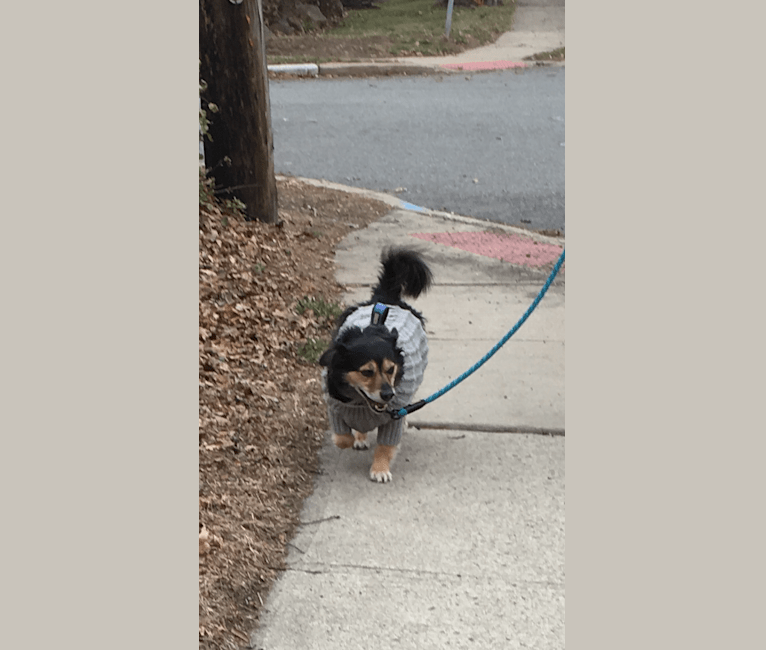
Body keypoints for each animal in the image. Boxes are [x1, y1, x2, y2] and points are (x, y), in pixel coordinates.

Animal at [320, 248, 436, 480]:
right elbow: (342, 437)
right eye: (366, 372)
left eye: (391, 369)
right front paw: (356, 437)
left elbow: (385, 445)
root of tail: (386, 298)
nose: (388, 394)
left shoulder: (393, 418)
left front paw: (380, 469)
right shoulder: (335, 407)